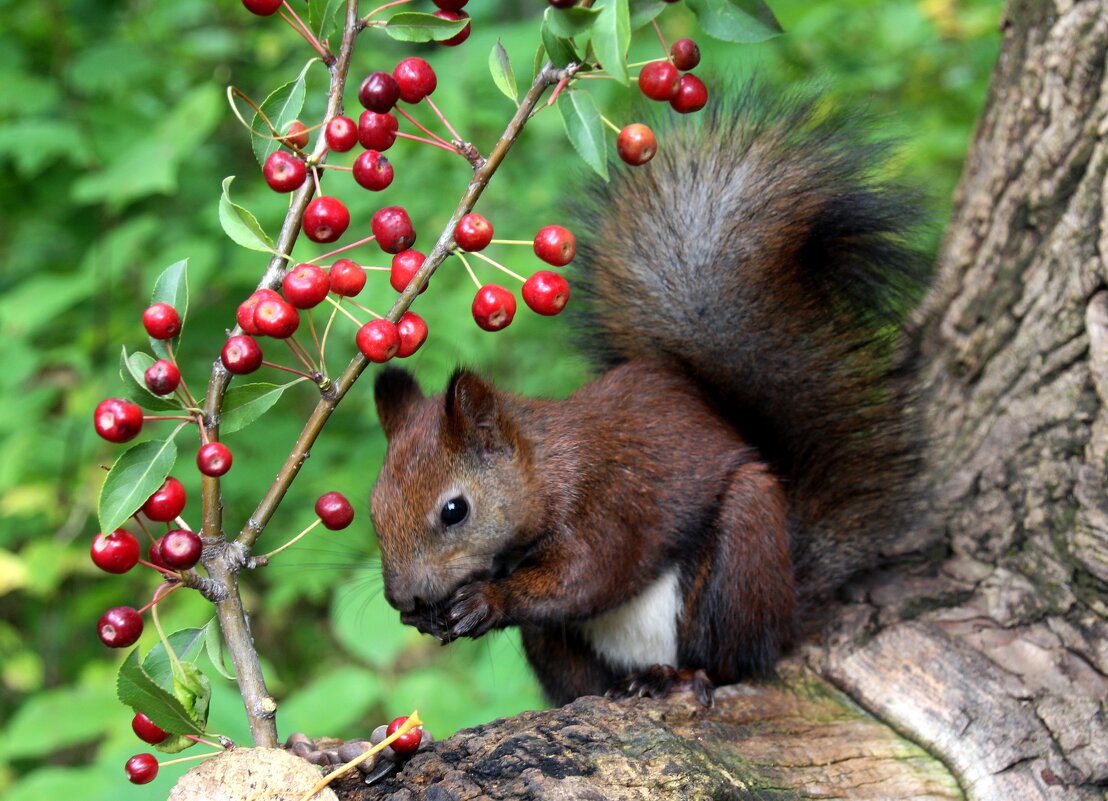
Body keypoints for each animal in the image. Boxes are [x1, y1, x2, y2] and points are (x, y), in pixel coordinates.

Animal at [367, 90, 930, 704]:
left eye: (455, 510)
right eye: (373, 508)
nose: (401, 598)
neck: (544, 471)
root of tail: (788, 607)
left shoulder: (607, 506)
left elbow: (587, 578)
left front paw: (490, 600)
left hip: (744, 551)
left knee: (734, 660)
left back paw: (682, 676)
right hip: (565, 651)